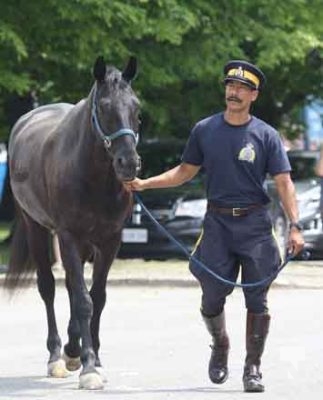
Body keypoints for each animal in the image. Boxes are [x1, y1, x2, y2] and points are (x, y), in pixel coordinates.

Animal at [4, 55, 142, 388]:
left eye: (136, 108)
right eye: (104, 107)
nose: (129, 164)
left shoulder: (110, 240)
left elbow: (97, 298)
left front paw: (94, 359)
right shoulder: (68, 236)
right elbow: (83, 302)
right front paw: (89, 367)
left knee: (69, 285)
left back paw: (71, 349)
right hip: (38, 229)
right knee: (48, 288)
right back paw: (56, 355)